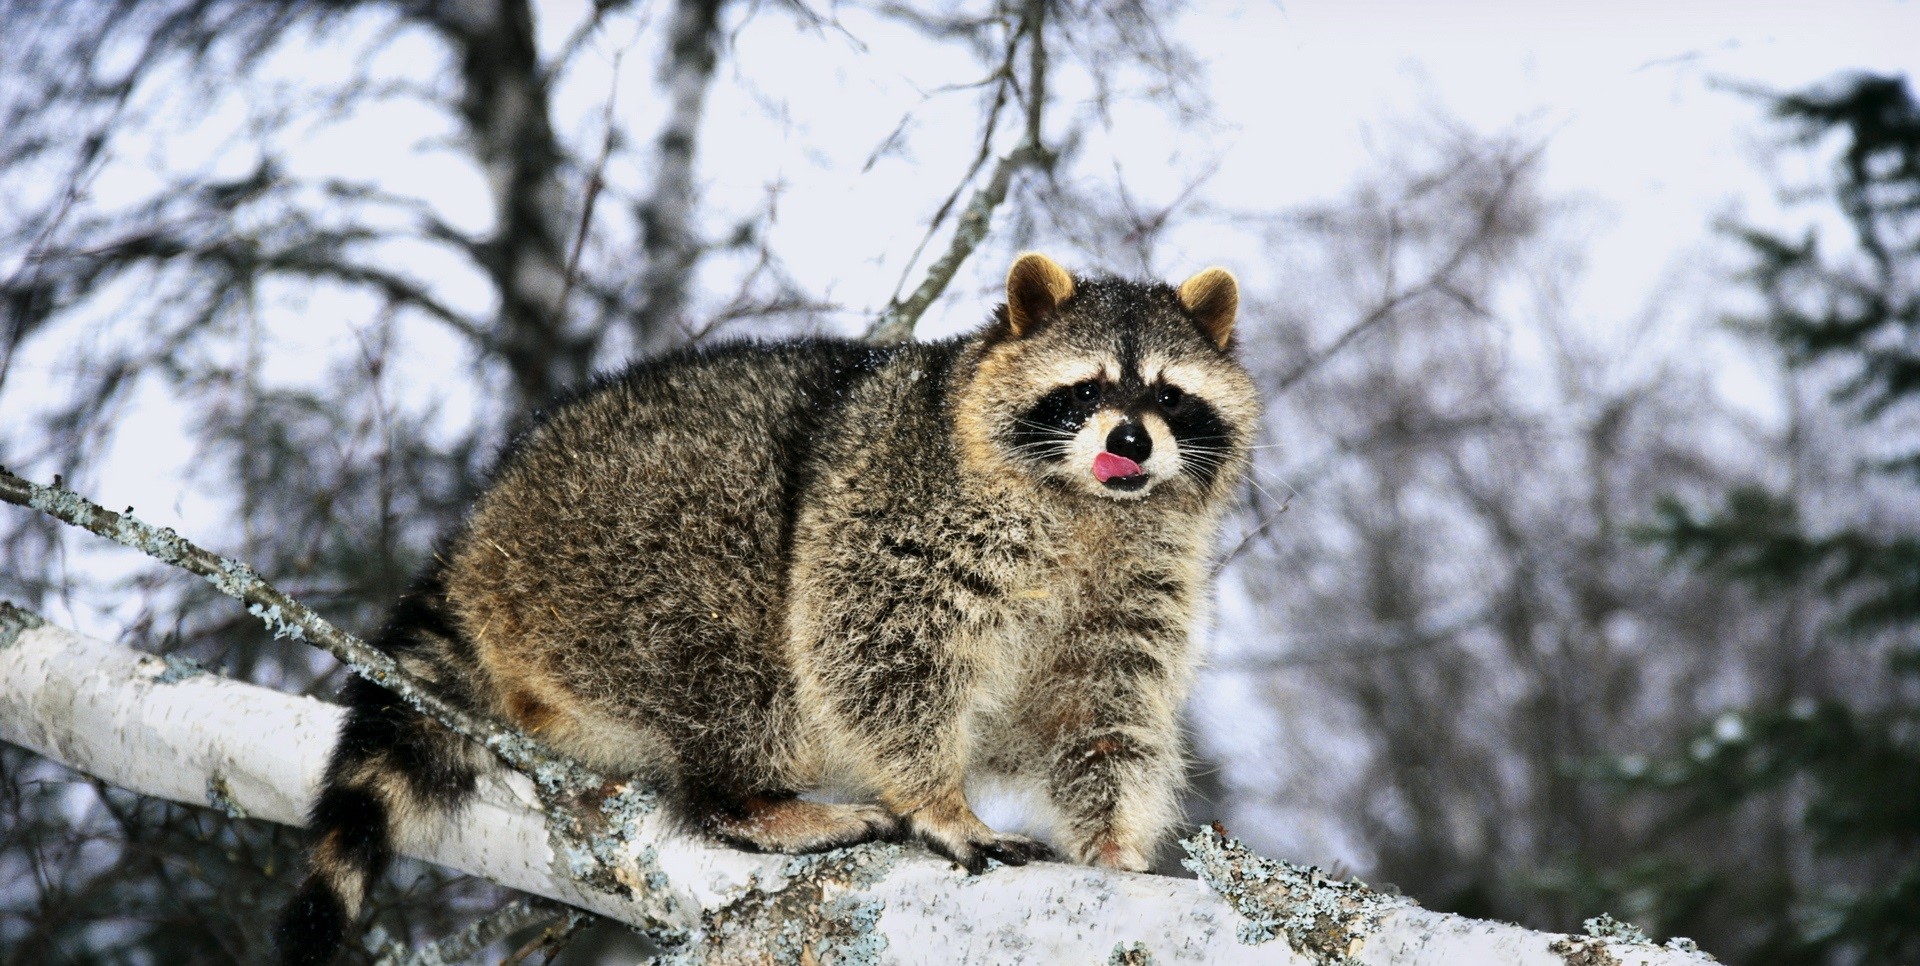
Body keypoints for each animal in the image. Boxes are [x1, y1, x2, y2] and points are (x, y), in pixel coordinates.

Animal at [270, 253, 1259, 964]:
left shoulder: (1137, 582)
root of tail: (479, 538)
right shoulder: (900, 510)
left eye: (1168, 395)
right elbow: (875, 651)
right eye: (1087, 388)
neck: (1091, 510)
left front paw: (1114, 841)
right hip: (613, 549)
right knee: (737, 654)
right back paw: (745, 797)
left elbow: (1102, 709)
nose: (1131, 439)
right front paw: (937, 798)